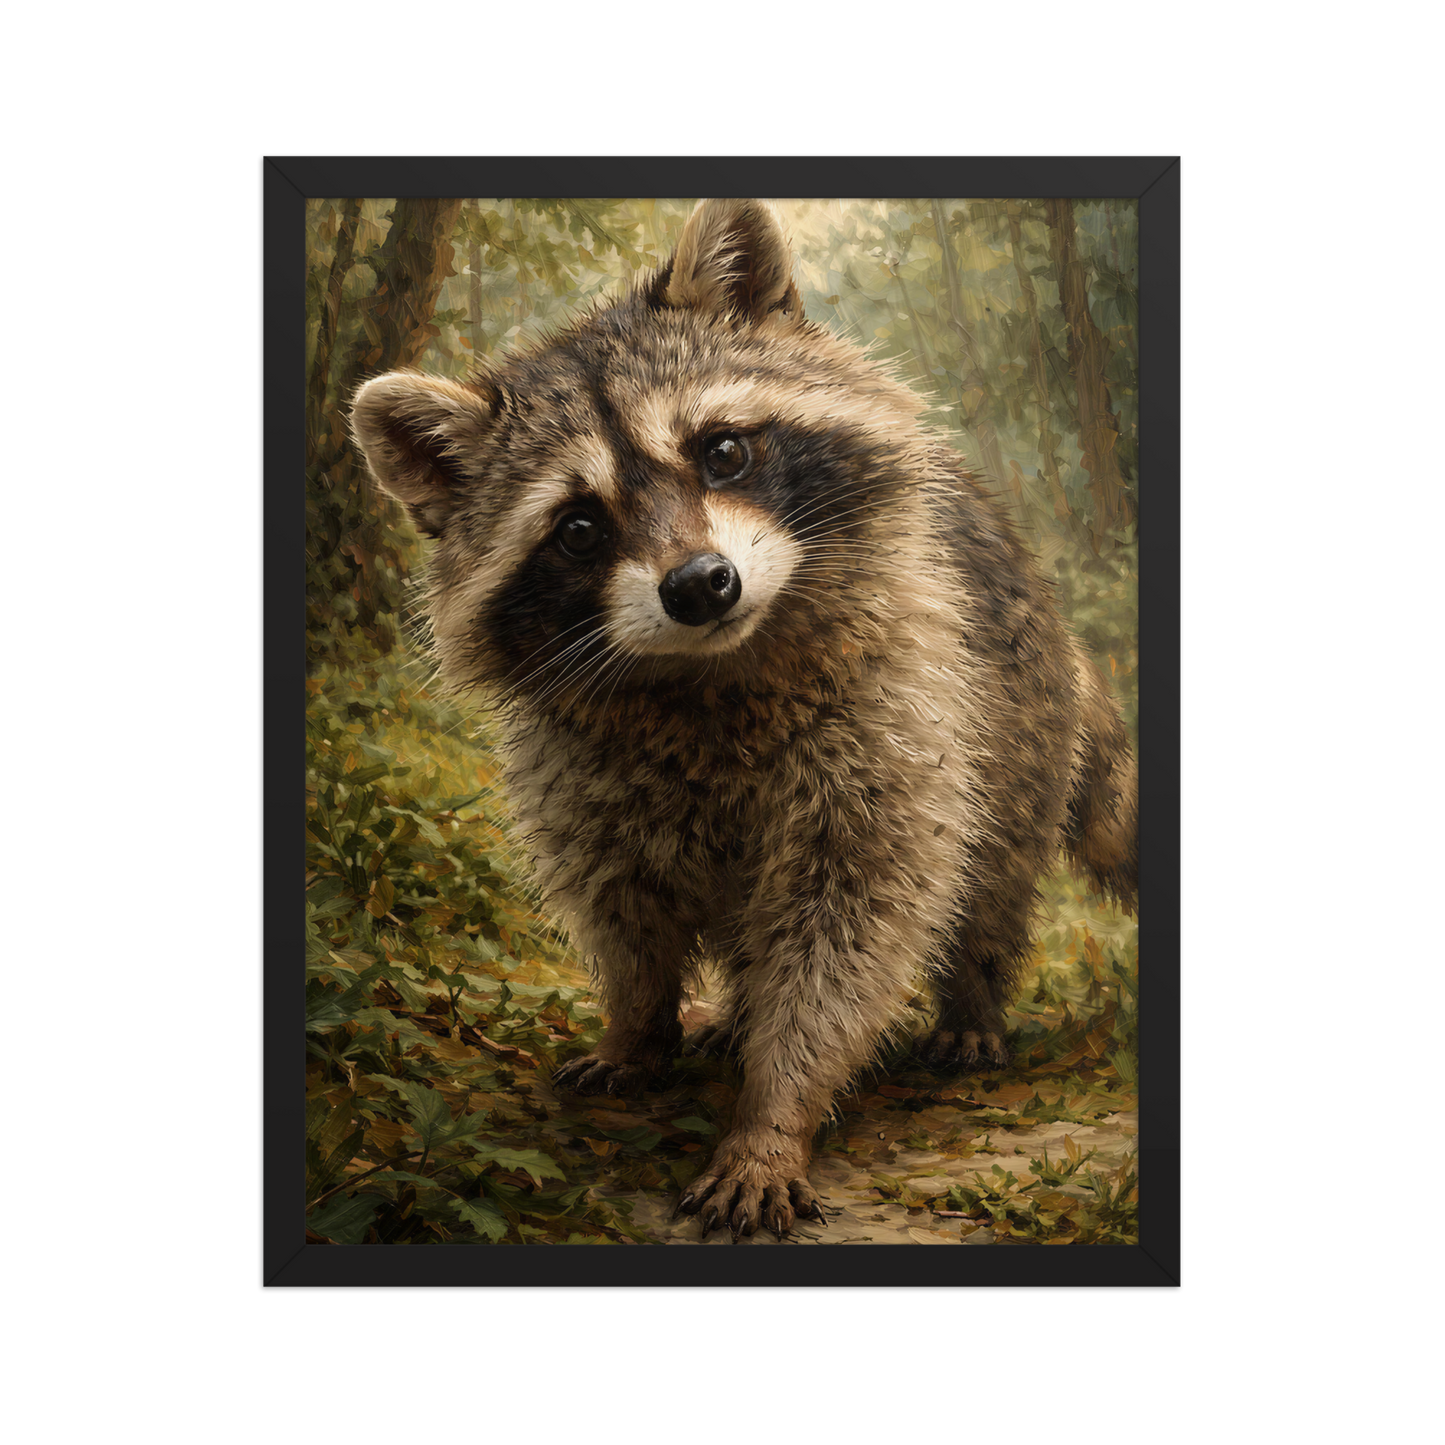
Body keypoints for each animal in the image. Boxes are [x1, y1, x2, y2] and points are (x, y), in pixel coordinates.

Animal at [351, 198, 1137, 1240]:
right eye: (578, 528)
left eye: (721, 450)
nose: (699, 584)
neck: (709, 673)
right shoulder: (577, 768)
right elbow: (622, 908)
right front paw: (638, 1024)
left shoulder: (896, 714)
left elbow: (849, 929)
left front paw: (773, 1113)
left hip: (1016, 719)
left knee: (992, 874)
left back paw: (971, 996)